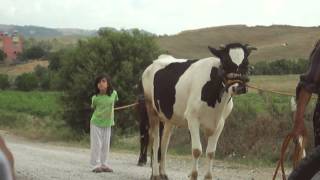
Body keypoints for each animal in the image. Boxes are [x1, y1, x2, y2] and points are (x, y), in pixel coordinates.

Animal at [141, 43, 256, 180]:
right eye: (225, 62)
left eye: (246, 62)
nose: (239, 87)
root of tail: (155, 62)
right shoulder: (192, 119)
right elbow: (197, 150)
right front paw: (194, 175)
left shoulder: (220, 123)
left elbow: (211, 152)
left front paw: (208, 177)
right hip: (151, 110)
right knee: (155, 141)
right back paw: (155, 174)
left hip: (170, 117)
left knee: (164, 142)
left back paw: (163, 173)